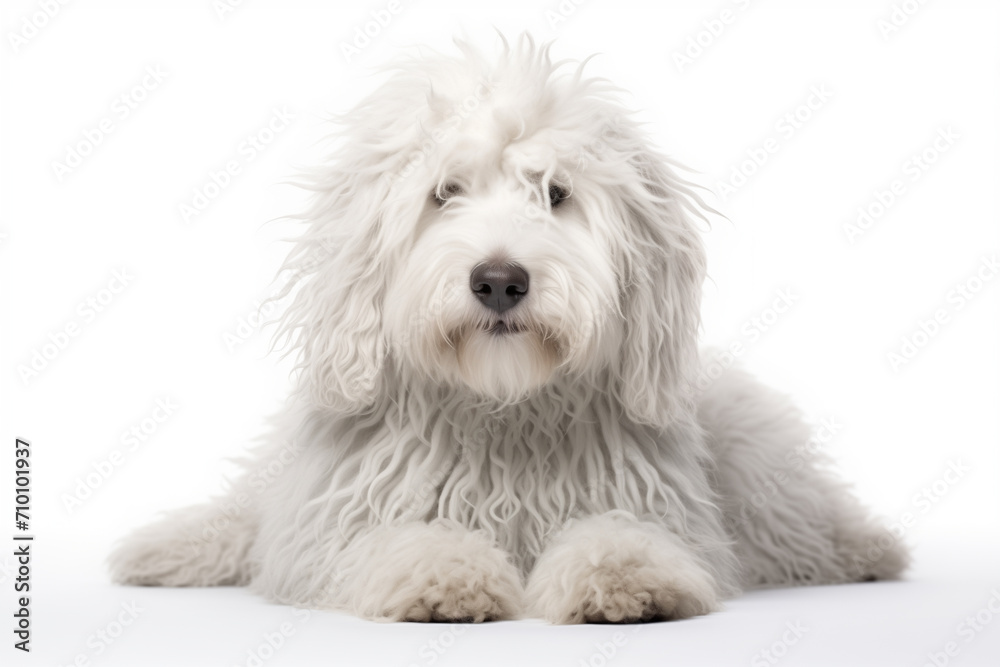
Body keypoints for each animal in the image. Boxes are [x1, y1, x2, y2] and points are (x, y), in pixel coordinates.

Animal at [109, 35, 908, 620]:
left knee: (798, 520)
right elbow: (398, 540)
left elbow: (626, 535)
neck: (503, 408)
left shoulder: (651, 501)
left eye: (556, 193)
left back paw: (867, 547)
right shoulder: (341, 517)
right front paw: (442, 576)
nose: (498, 281)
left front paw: (625, 577)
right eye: (444, 193)